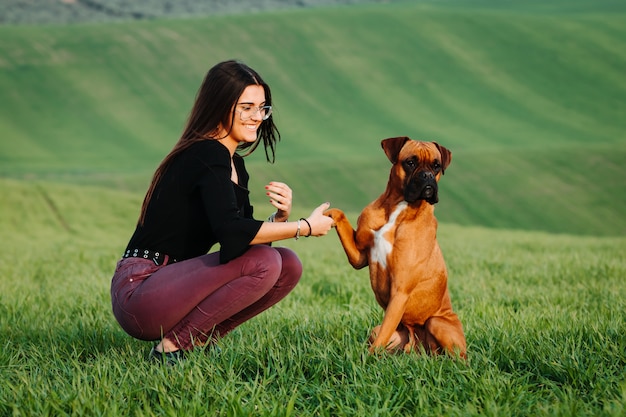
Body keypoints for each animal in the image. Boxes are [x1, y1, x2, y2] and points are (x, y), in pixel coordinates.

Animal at [326, 136, 464, 358]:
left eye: (436, 166)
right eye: (410, 162)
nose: (427, 176)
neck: (399, 208)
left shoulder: (400, 290)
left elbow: (382, 336)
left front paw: (365, 359)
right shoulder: (359, 257)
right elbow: (339, 214)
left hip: (437, 322)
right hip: (388, 333)